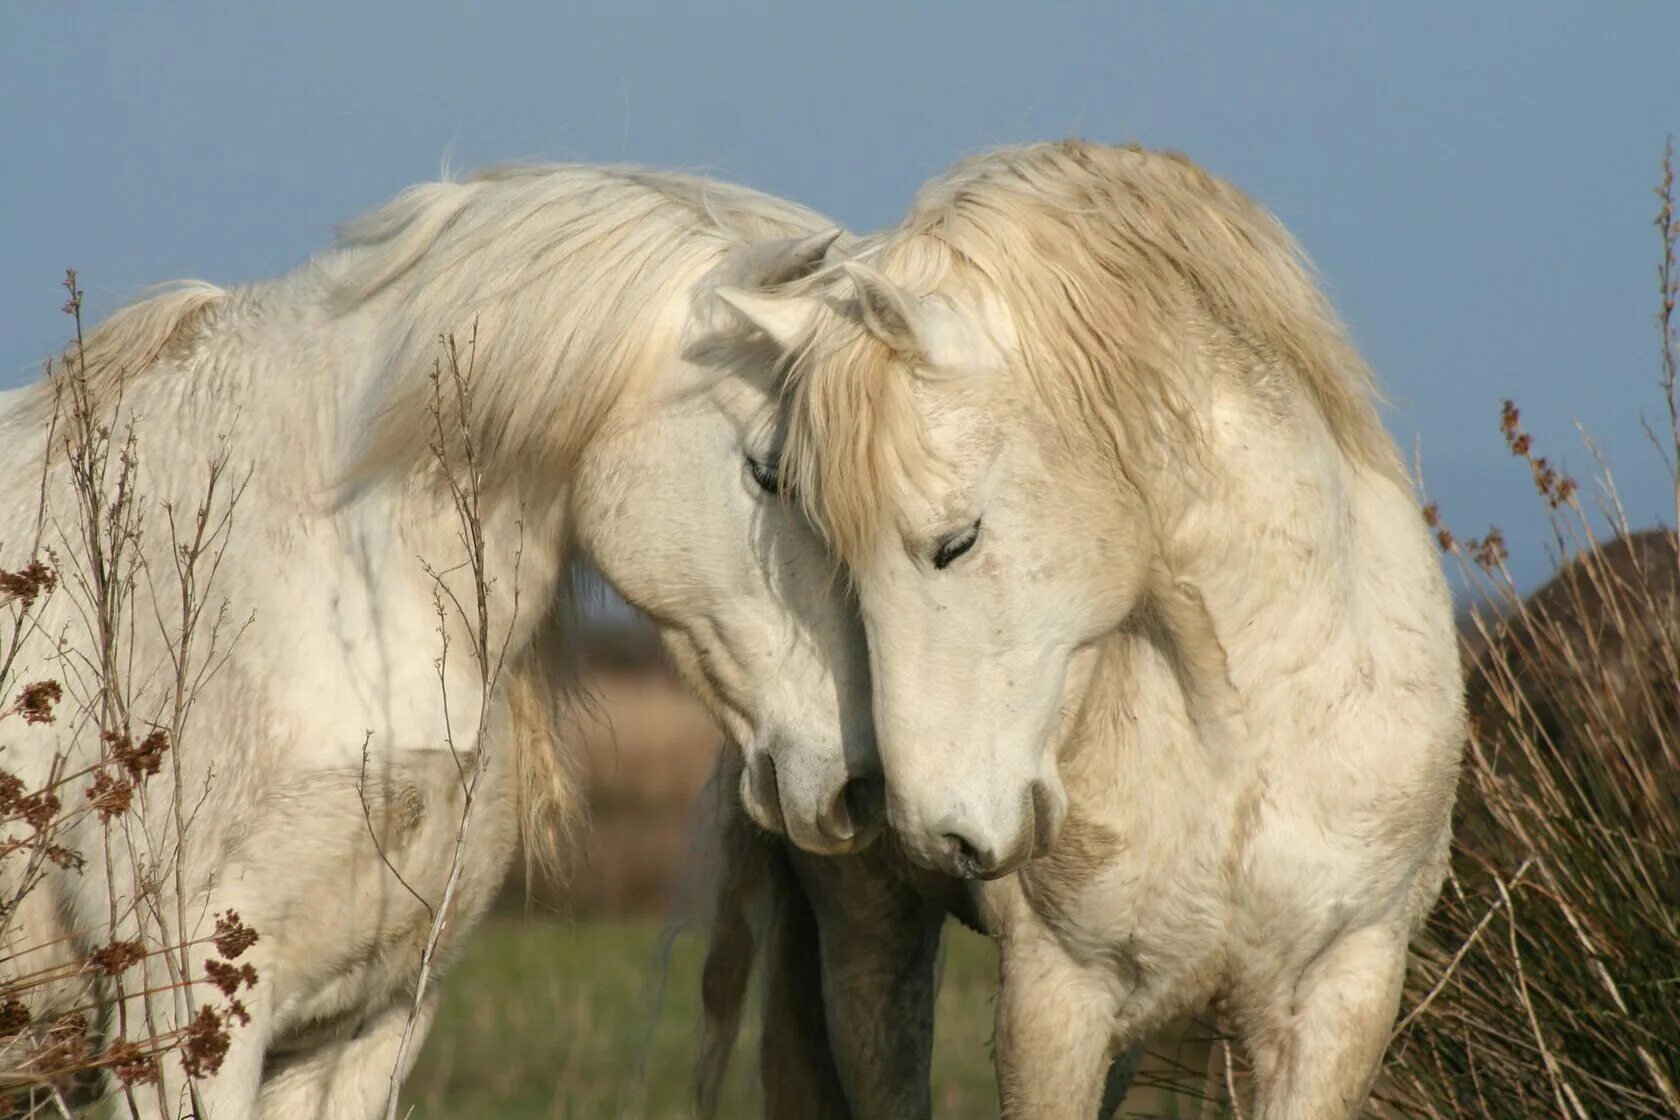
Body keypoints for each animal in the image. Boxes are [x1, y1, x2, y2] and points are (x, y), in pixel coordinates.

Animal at [729, 142, 1464, 1120]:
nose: (940, 832)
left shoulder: (1343, 990)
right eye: (824, 545)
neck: (1244, 732)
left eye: (956, 541)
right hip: (869, 939)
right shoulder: (1054, 1001)